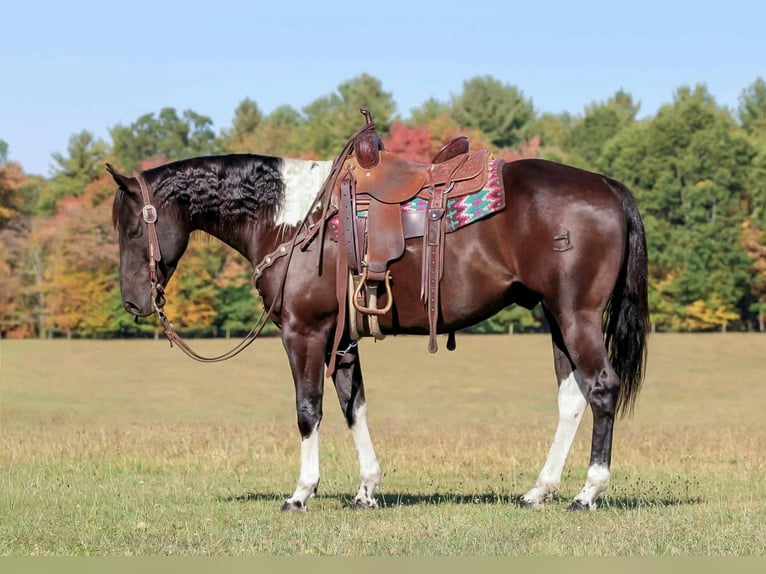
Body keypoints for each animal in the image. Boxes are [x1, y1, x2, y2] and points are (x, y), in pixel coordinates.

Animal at [108, 134, 649, 513]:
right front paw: (367, 489)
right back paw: (541, 489)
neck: (293, 220)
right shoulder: (342, 340)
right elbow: (355, 407)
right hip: (556, 317)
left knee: (602, 389)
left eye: (133, 228)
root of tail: (606, 185)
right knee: (571, 399)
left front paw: (301, 492)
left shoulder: (304, 332)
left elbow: (308, 410)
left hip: (576, 316)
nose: (134, 303)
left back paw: (588, 492)